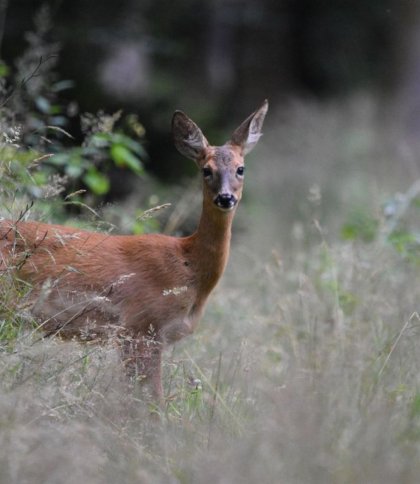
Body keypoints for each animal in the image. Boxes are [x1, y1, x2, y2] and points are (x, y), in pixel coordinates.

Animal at [0, 99, 270, 404]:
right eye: (206, 170)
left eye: (241, 168)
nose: (225, 198)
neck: (188, 265)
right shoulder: (141, 325)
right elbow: (150, 402)